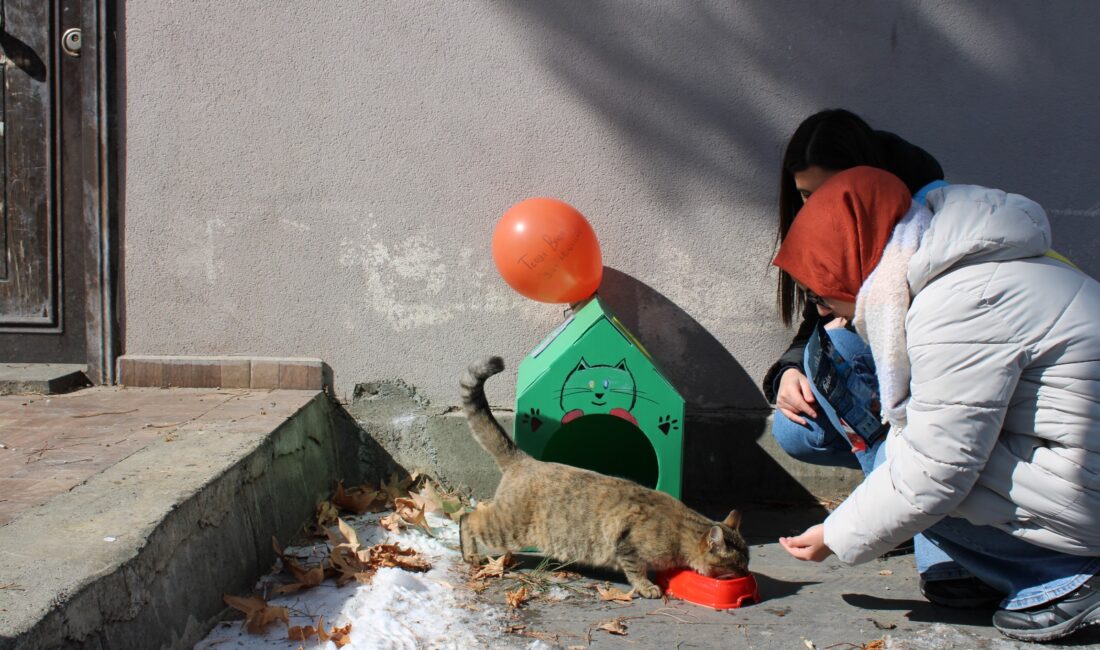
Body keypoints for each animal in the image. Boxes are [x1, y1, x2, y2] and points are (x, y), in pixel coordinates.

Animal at [459, 358, 752, 598]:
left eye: (747, 561)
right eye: (738, 564)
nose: (747, 573)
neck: (681, 531)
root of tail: (524, 458)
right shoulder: (629, 547)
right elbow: (636, 570)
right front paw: (647, 587)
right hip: (509, 528)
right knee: (467, 518)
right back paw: (470, 554)